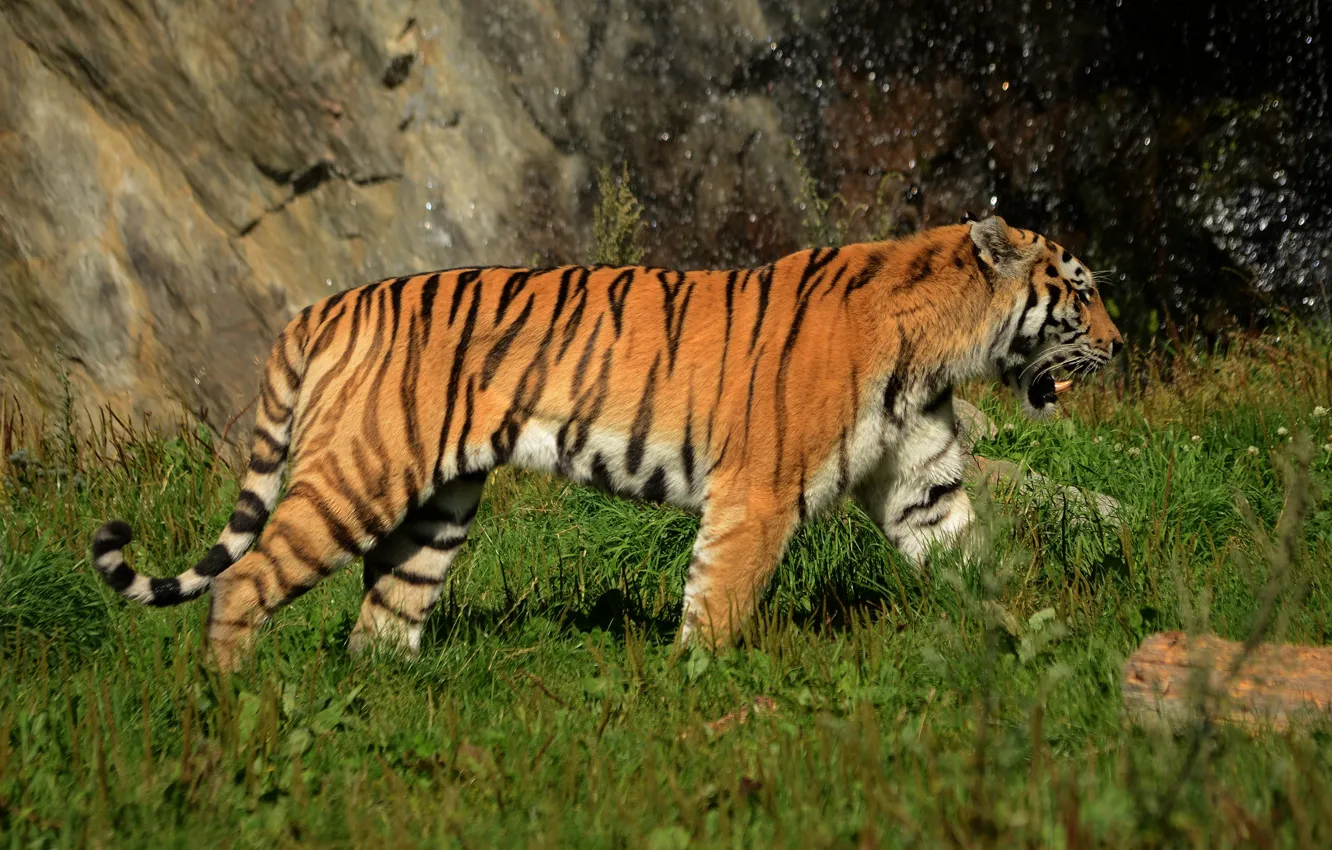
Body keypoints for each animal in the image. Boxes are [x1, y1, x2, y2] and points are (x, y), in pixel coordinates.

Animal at [91, 215, 1122, 669]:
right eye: (1081, 289)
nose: (1120, 343)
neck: (939, 346)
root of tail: (324, 306)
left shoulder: (923, 487)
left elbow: (978, 562)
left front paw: (1045, 652)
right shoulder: (760, 494)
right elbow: (720, 601)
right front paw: (698, 690)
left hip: (437, 511)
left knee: (381, 619)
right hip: (360, 476)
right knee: (244, 583)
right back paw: (237, 708)